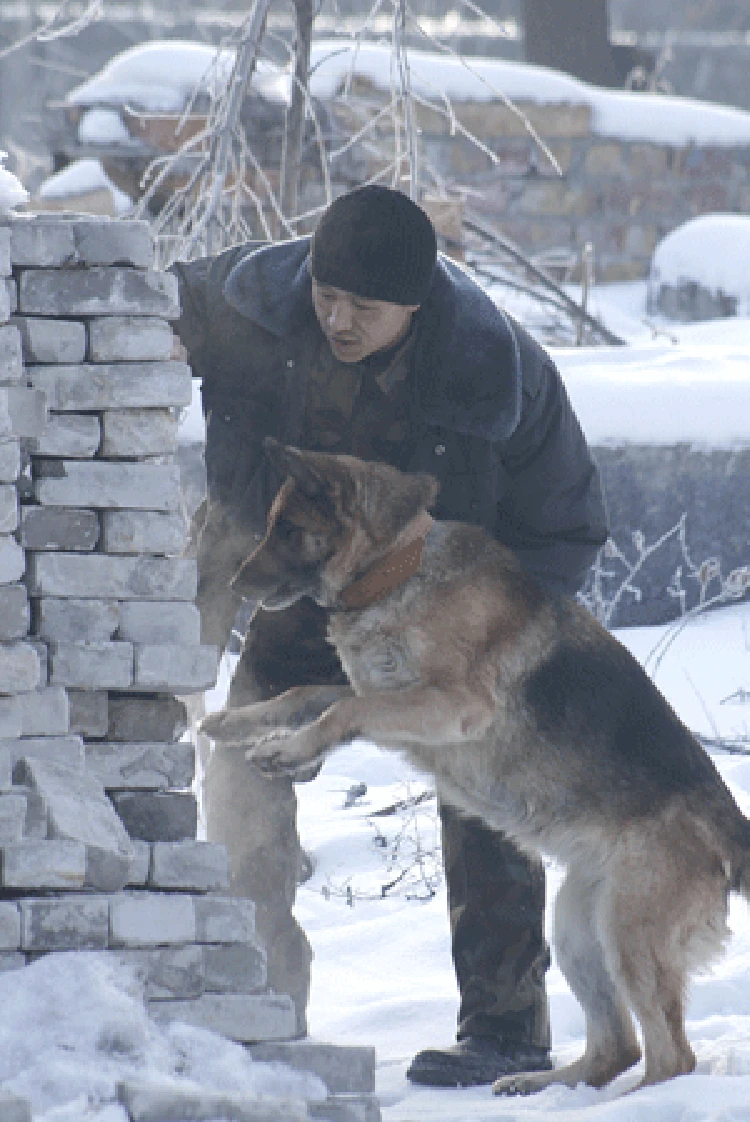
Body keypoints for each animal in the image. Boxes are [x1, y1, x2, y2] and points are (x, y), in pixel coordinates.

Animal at [202, 437, 750, 1095]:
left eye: (287, 529)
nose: (234, 582)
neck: (398, 569)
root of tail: (732, 831)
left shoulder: (454, 704)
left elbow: (346, 706)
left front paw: (285, 750)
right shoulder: (390, 695)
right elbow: (308, 694)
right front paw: (241, 724)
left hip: (629, 932)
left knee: (672, 1058)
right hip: (578, 928)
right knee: (616, 1046)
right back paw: (544, 1085)